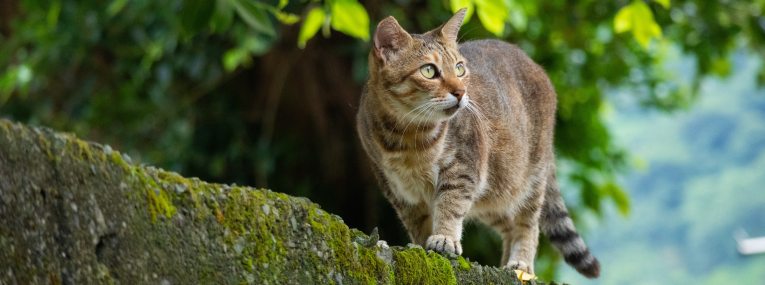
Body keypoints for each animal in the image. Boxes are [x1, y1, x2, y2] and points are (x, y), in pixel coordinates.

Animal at [356, 8, 600, 278]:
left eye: (460, 68)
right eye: (429, 70)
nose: (461, 92)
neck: (409, 137)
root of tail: (535, 64)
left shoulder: (463, 170)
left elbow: (450, 205)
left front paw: (444, 238)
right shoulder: (398, 190)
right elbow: (417, 223)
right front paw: (421, 246)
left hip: (531, 177)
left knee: (528, 224)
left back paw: (521, 265)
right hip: (492, 196)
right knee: (508, 226)